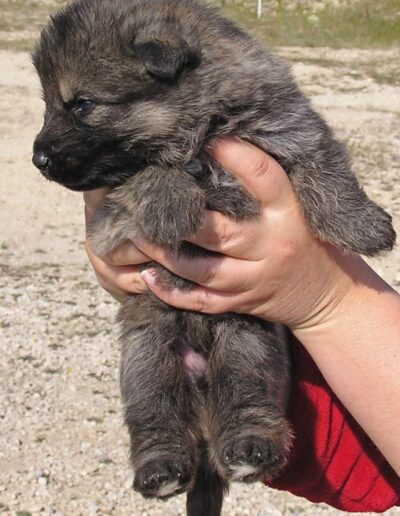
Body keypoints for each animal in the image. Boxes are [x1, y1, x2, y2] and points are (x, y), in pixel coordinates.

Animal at [32, 0, 396, 512]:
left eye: (82, 105)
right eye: (49, 104)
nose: (38, 158)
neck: (203, 127)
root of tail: (204, 429)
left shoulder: (288, 126)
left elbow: (324, 163)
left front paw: (360, 223)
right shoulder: (106, 213)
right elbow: (142, 173)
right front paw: (168, 199)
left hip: (246, 342)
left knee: (247, 400)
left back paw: (248, 446)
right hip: (146, 356)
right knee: (153, 418)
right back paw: (161, 467)